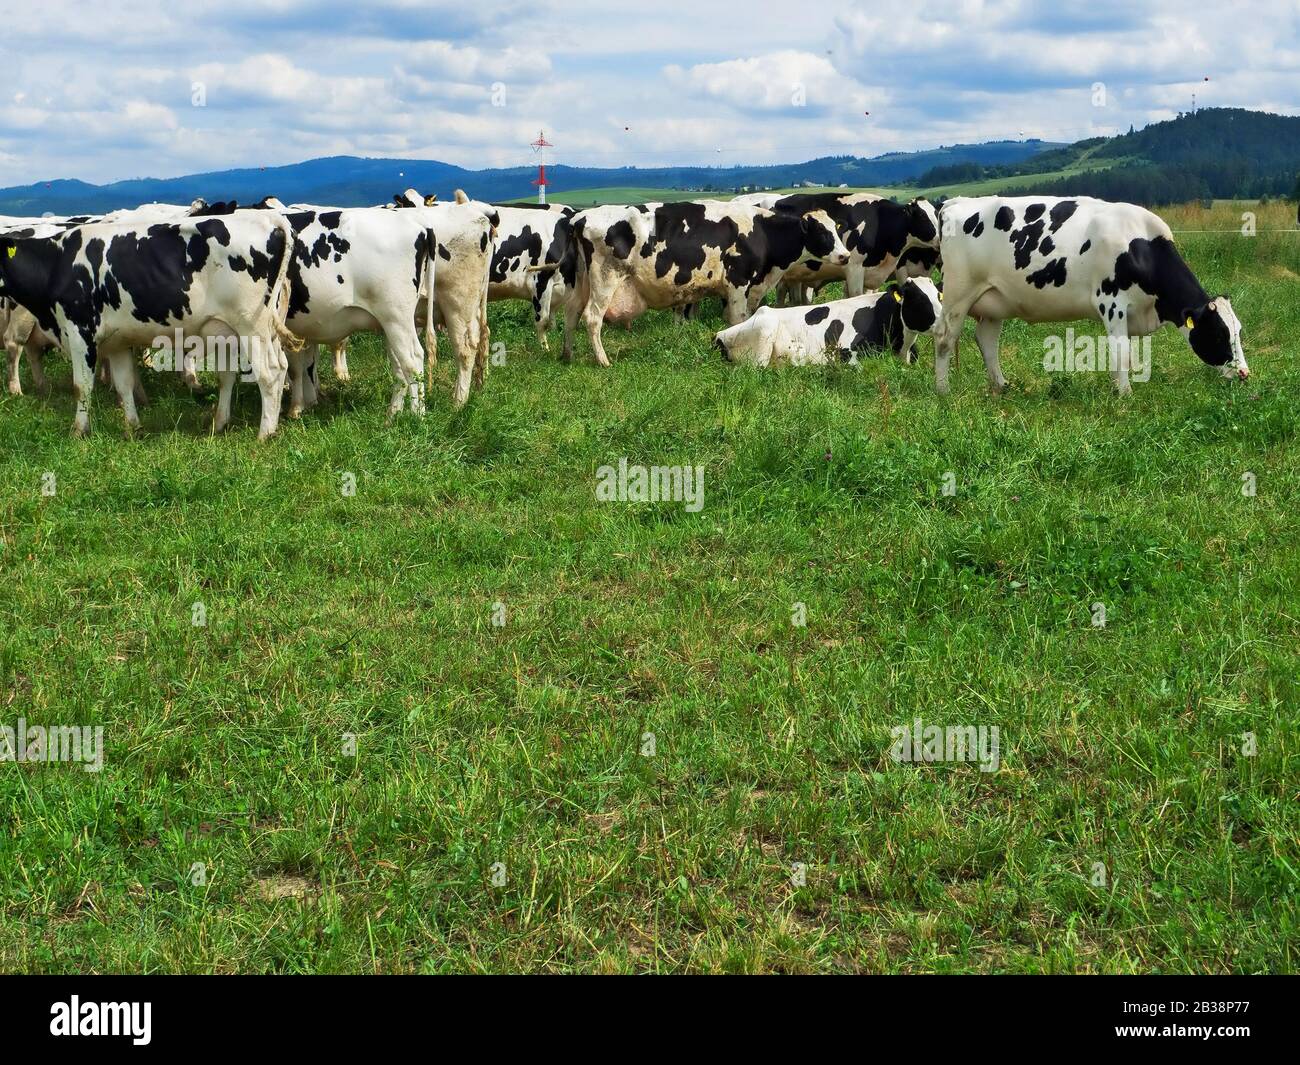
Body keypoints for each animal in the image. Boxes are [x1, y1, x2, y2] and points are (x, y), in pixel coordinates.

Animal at [0, 214, 299, 438]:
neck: (57, 264)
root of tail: (269, 218)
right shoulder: (117, 342)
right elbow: (124, 385)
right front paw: (133, 428)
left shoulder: (79, 332)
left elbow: (81, 386)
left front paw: (79, 431)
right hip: (253, 330)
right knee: (271, 367)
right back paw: (221, 423)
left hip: (252, 327)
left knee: (269, 373)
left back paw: (265, 433)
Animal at [562, 200, 851, 367]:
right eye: (821, 231)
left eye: (836, 229)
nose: (845, 255)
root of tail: (580, 218)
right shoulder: (737, 283)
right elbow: (737, 319)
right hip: (605, 279)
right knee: (592, 318)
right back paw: (602, 360)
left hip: (581, 282)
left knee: (571, 314)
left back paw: (567, 355)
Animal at [715, 277, 943, 367]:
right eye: (919, 299)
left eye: (939, 296)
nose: (944, 323)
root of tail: (718, 334)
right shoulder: (845, 353)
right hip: (763, 335)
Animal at [932, 196, 1249, 395]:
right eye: (1218, 334)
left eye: (1238, 332)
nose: (1245, 374)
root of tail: (955, 202)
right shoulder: (1111, 303)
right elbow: (1121, 353)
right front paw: (1125, 394)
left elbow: (1124, 354)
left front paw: (1118, 386)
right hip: (959, 293)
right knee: (945, 337)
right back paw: (943, 390)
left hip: (993, 300)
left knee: (986, 341)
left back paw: (1001, 385)